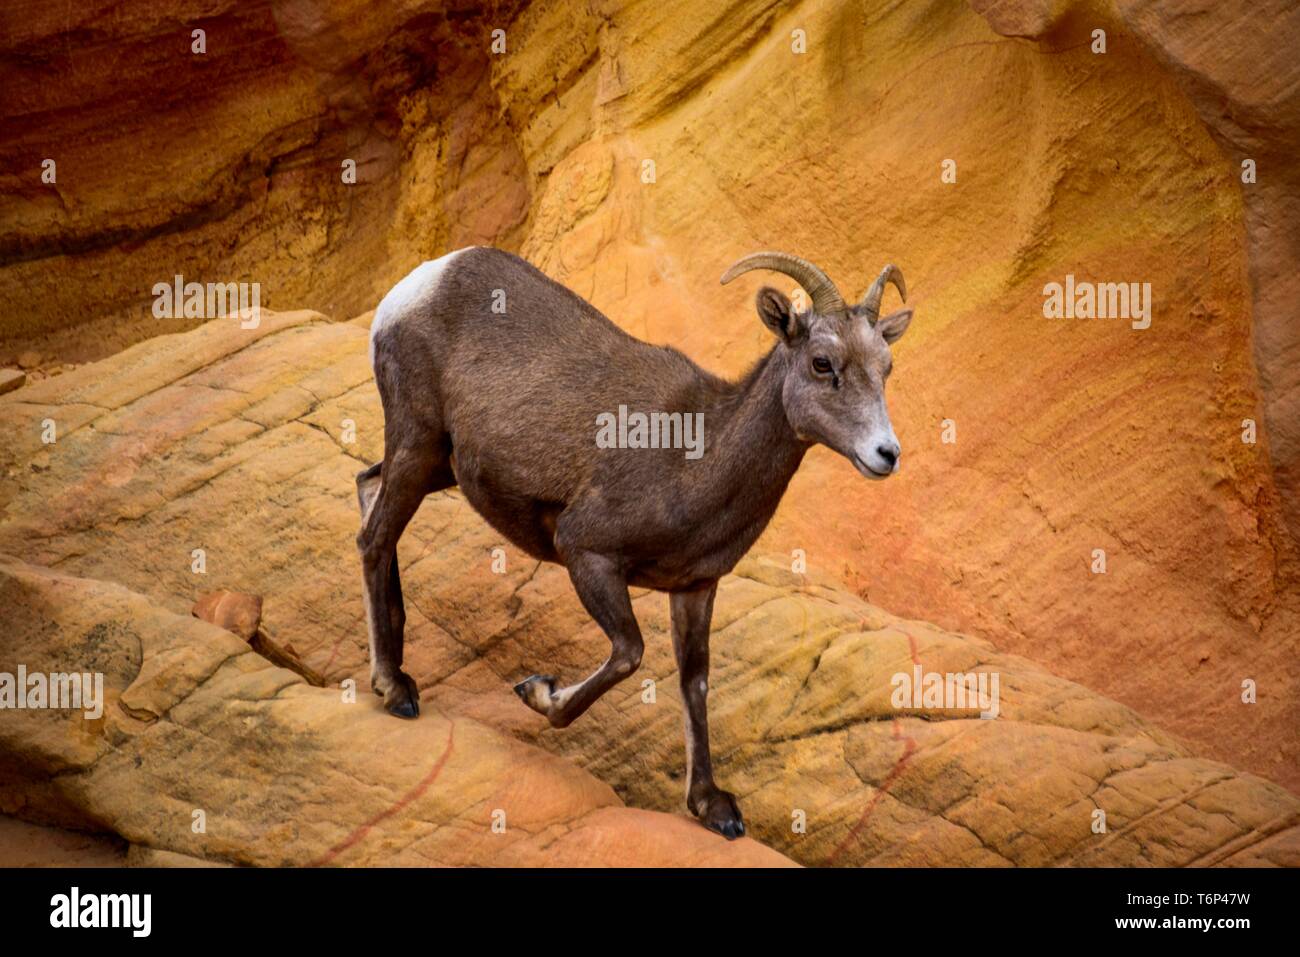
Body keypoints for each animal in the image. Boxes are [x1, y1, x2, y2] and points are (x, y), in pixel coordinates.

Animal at [356, 247, 915, 837]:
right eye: (822, 363)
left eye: (885, 368)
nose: (886, 454)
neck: (693, 456)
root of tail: (422, 281)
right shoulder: (587, 553)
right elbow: (629, 653)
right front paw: (538, 692)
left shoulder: (695, 588)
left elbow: (695, 682)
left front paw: (714, 808)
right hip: (417, 442)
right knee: (373, 537)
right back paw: (394, 689)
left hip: (438, 463)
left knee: (367, 487)